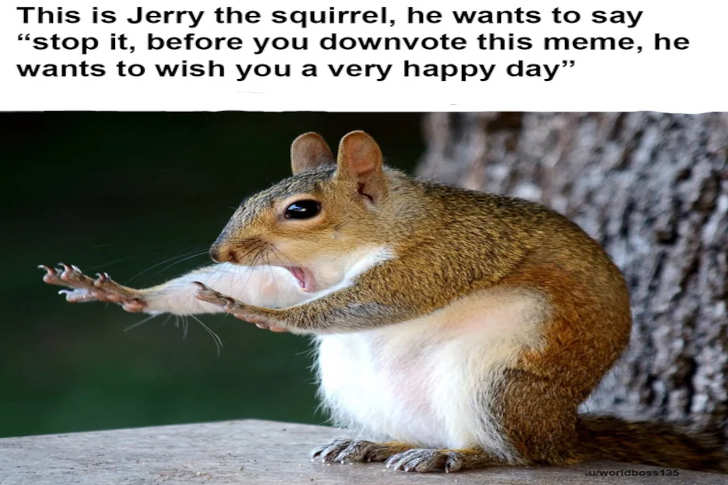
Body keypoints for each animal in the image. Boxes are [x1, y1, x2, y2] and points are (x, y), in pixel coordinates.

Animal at [40, 130, 727, 473]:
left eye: (301, 210)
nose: (223, 249)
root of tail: (563, 432)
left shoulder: (447, 255)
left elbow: (376, 300)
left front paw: (266, 318)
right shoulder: (296, 273)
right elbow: (256, 284)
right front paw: (120, 292)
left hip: (497, 385)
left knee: (514, 454)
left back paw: (454, 456)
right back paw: (376, 445)